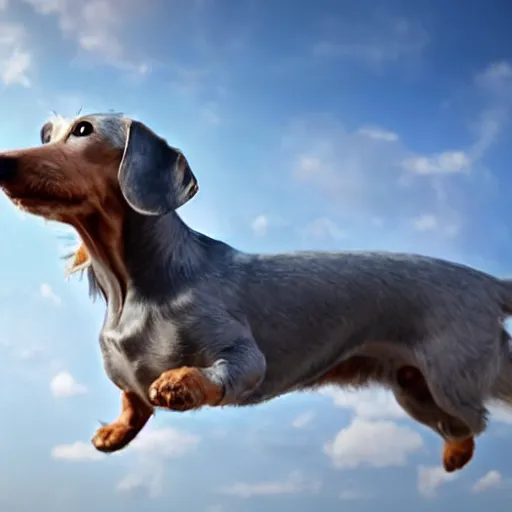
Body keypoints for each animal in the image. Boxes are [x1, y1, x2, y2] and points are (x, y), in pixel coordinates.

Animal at [1, 111, 512, 472]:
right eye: (47, 134)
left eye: (83, 129)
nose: (3, 162)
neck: (136, 288)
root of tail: (487, 282)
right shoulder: (126, 376)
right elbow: (132, 399)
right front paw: (114, 432)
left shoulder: (246, 357)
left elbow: (213, 374)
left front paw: (180, 384)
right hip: (414, 389)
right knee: (463, 429)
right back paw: (454, 455)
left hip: (452, 380)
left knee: (479, 419)